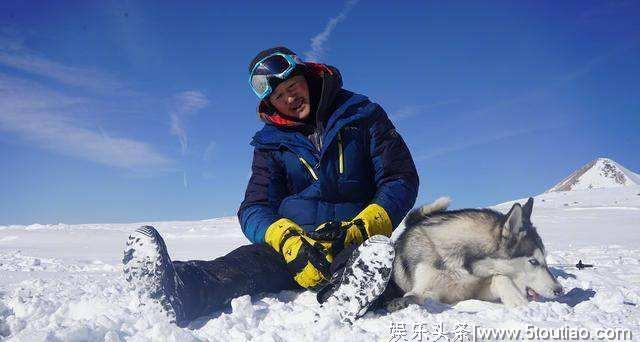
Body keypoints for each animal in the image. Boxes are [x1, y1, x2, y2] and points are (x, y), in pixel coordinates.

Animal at [390, 195, 564, 310]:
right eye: (533, 261)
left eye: (545, 259)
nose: (560, 290)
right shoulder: (422, 289)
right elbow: (418, 296)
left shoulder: (475, 290)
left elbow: (499, 277)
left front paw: (515, 299)